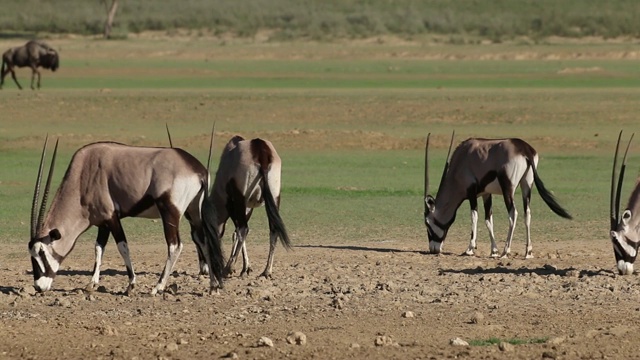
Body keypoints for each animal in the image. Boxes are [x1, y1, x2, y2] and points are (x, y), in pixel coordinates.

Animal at [28, 136, 226, 294]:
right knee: (203, 241)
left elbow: (122, 246)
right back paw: (213, 286)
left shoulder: (111, 217)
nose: (38, 287)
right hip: (194, 213)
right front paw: (92, 283)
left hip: (170, 213)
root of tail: (198, 170)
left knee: (175, 245)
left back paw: (158, 287)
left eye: (41, 252)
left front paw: (131, 285)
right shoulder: (102, 222)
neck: (83, 177)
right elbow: (98, 248)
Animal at [210, 135, 290, 278]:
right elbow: (237, 233)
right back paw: (266, 271)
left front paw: (239, 268)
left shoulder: (235, 206)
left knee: (243, 229)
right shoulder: (248, 207)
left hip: (241, 199)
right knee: (273, 231)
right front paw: (246, 268)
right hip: (274, 197)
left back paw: (228, 269)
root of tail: (260, 149)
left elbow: (237, 232)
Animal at [424, 134, 568, 258]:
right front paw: (493, 251)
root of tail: (524, 148)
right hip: (526, 185)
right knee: (527, 213)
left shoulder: (471, 193)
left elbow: (474, 216)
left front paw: (470, 249)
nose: (433, 249)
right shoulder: (486, 194)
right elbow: (488, 220)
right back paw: (528, 252)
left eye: (427, 223)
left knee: (513, 213)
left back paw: (506, 251)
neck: (462, 158)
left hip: (508, 189)